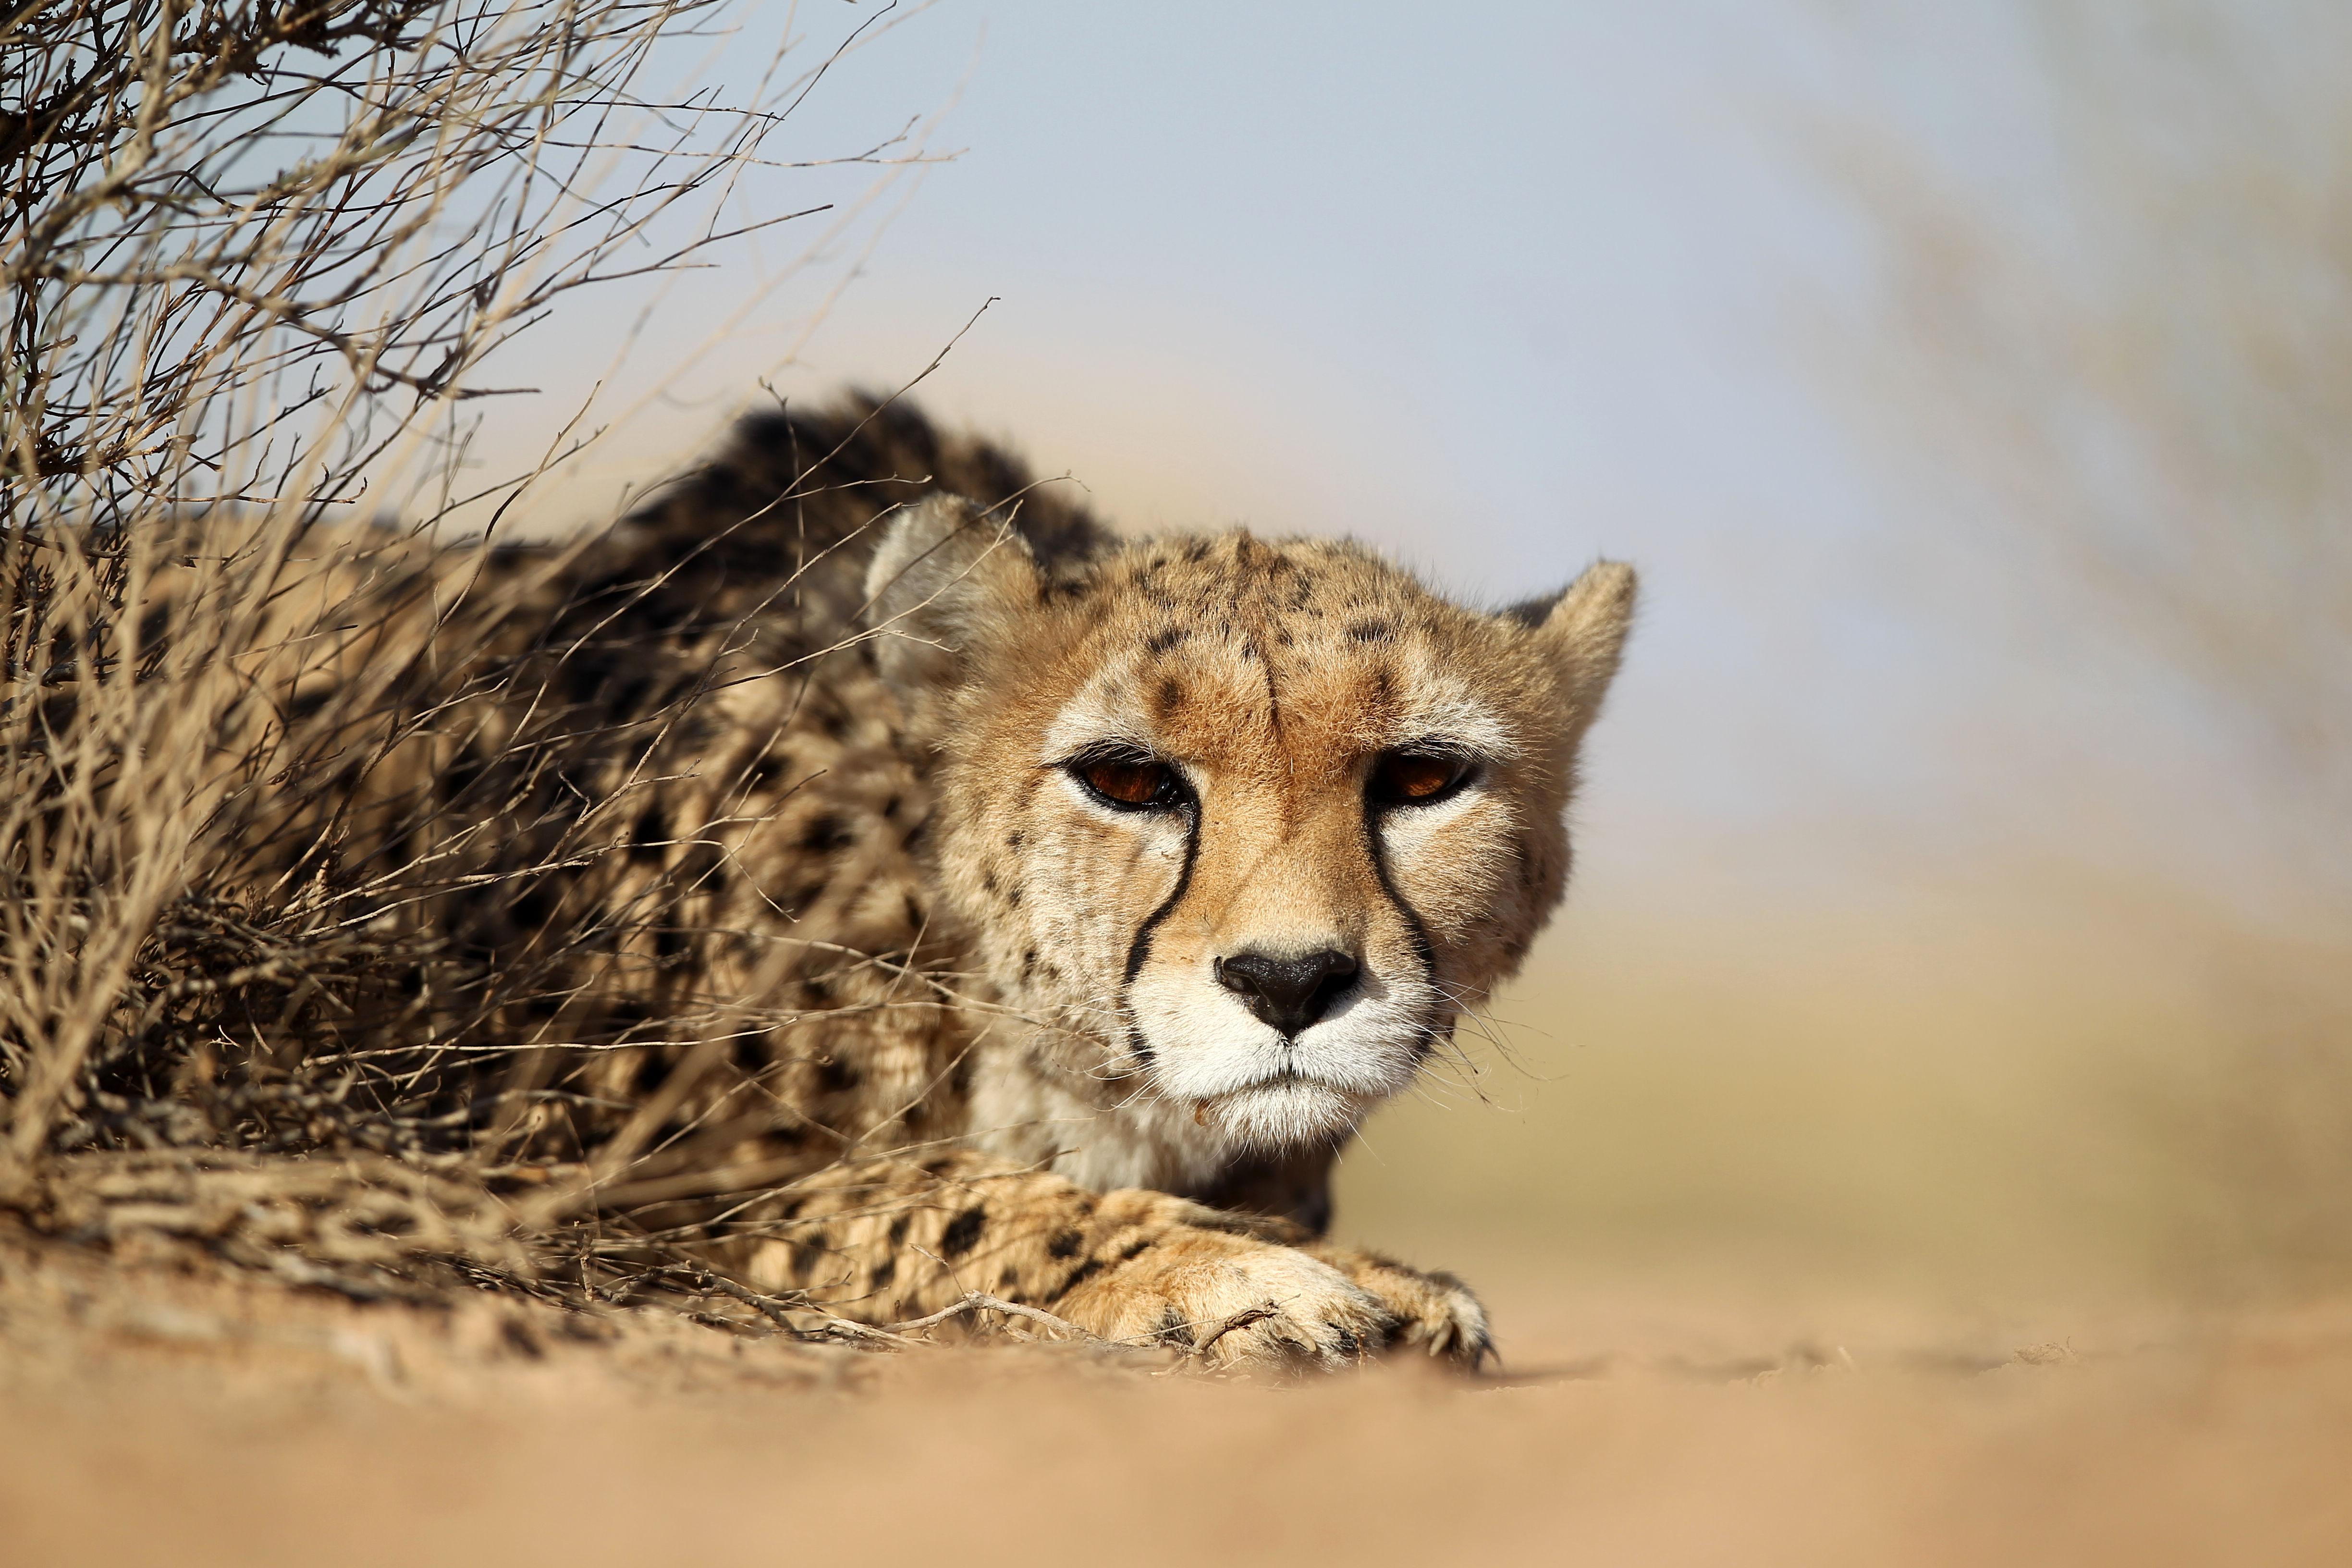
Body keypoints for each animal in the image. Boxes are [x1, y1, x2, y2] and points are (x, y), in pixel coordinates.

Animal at [224, 395, 1637, 1372]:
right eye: (1128, 780)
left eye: (1422, 777)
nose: (1291, 982)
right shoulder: (519, 1173)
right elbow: (909, 1198)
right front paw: (1231, 1273)